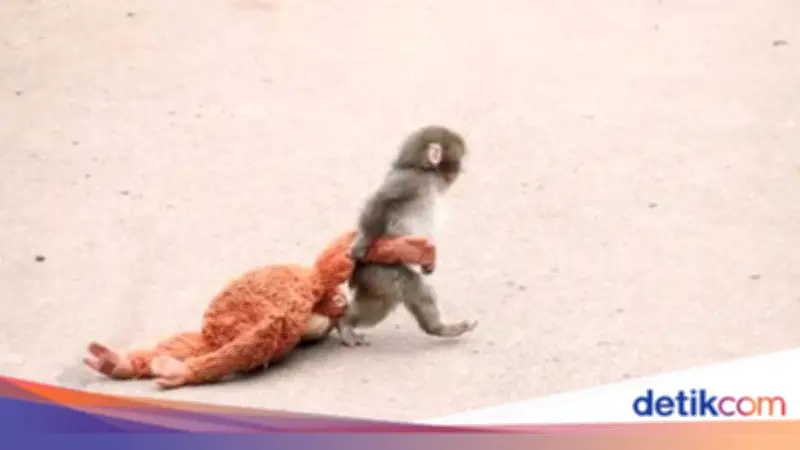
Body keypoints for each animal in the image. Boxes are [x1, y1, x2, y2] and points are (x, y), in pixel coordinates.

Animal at [335, 125, 479, 347]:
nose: (462, 168)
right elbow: (381, 201)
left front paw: (428, 263)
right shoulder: (409, 182)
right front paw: (360, 245)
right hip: (378, 271)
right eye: (460, 158)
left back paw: (440, 329)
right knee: (391, 294)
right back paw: (344, 324)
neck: (424, 171)